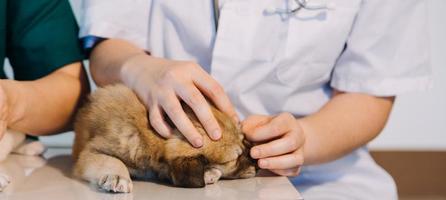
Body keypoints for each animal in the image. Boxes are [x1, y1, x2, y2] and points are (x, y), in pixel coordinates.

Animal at [71, 83, 256, 192]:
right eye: (234, 159)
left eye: (243, 139)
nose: (255, 161)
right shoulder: (92, 151)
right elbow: (112, 161)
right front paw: (117, 176)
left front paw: (209, 172)